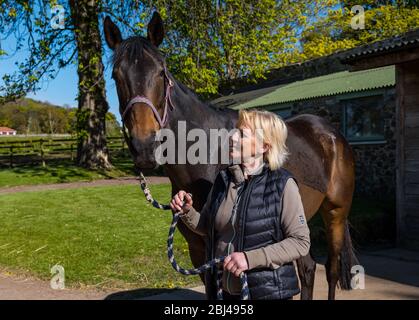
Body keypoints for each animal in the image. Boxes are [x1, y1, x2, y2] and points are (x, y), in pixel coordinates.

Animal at [104, 10, 358, 300]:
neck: (205, 155)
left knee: (331, 270)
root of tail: (331, 134)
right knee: (306, 268)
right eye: (116, 76)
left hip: (335, 213)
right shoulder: (199, 251)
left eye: (161, 73)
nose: (145, 146)